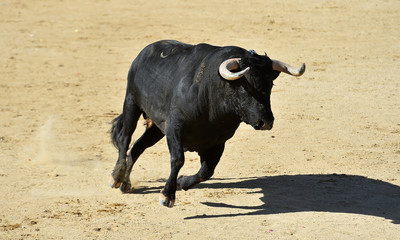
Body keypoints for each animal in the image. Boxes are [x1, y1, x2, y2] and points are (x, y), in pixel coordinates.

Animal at [109, 40, 306, 207]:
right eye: (245, 87)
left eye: (270, 85)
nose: (265, 122)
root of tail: (144, 52)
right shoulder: (174, 128)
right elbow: (178, 159)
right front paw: (167, 195)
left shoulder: (217, 142)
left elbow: (206, 171)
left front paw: (182, 182)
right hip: (131, 102)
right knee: (125, 138)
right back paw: (116, 177)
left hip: (157, 128)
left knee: (138, 146)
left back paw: (126, 183)